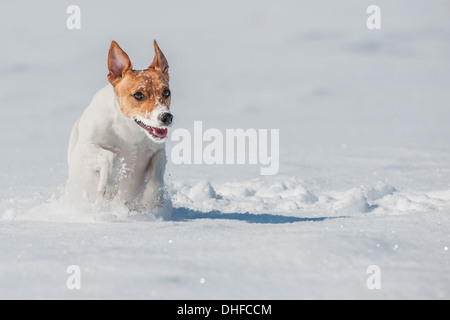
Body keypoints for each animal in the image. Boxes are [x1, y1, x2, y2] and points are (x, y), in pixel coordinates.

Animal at [66, 40, 173, 211]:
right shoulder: (84, 149)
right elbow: (110, 156)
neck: (130, 133)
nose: (166, 117)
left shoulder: (158, 151)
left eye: (166, 92)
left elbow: (157, 174)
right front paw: (109, 188)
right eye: (138, 95)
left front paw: (151, 201)